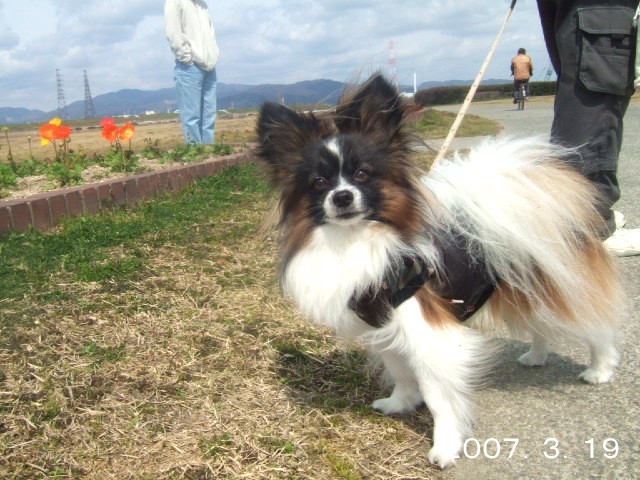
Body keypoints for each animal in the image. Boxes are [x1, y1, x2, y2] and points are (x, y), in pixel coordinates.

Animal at [255, 73, 624, 469]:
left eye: (362, 174)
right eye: (319, 183)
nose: (342, 197)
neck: (356, 239)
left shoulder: (429, 333)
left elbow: (438, 396)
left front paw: (445, 446)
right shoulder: (382, 324)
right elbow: (400, 372)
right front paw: (399, 404)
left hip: (561, 285)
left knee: (596, 326)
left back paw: (600, 369)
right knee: (540, 325)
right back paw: (537, 356)